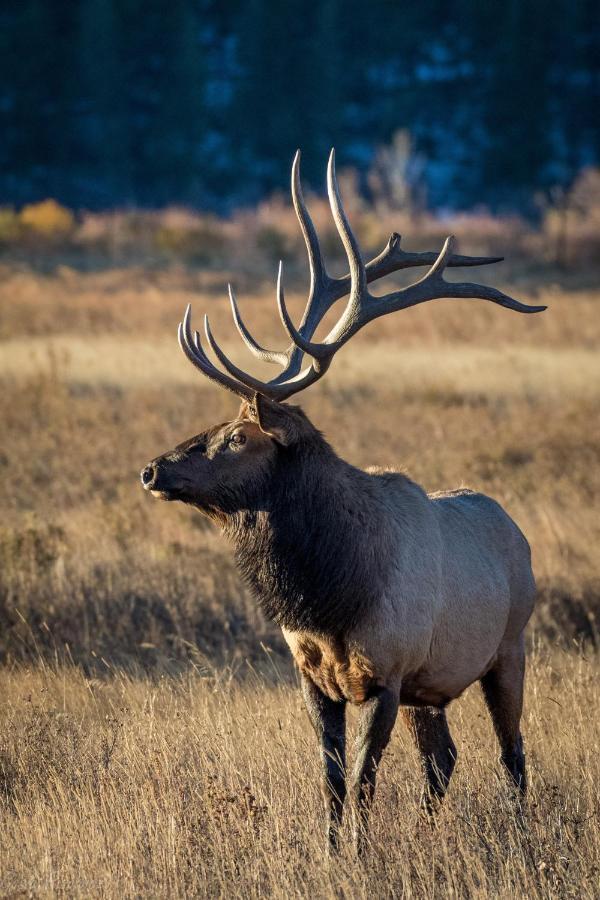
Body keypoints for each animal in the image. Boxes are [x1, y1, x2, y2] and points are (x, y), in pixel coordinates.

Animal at [142, 151, 544, 856]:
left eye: (239, 436)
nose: (152, 469)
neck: (331, 593)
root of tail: (516, 532)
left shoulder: (386, 673)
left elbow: (362, 779)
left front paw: (357, 852)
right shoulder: (316, 677)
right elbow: (330, 777)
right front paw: (331, 851)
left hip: (508, 648)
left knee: (511, 754)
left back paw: (521, 835)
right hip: (430, 686)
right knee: (445, 760)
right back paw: (428, 832)